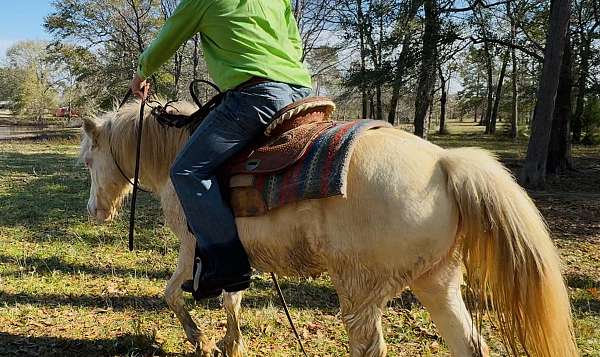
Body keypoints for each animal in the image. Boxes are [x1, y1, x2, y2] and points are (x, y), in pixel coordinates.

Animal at [82, 101, 580, 356]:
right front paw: (228, 341)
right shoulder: (236, 257)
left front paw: (199, 339)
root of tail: (444, 163)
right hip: (435, 282)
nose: (93, 211)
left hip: (361, 289)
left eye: (88, 160)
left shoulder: (194, 250)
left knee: (369, 347)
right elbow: (232, 299)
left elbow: (171, 294)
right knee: (467, 343)